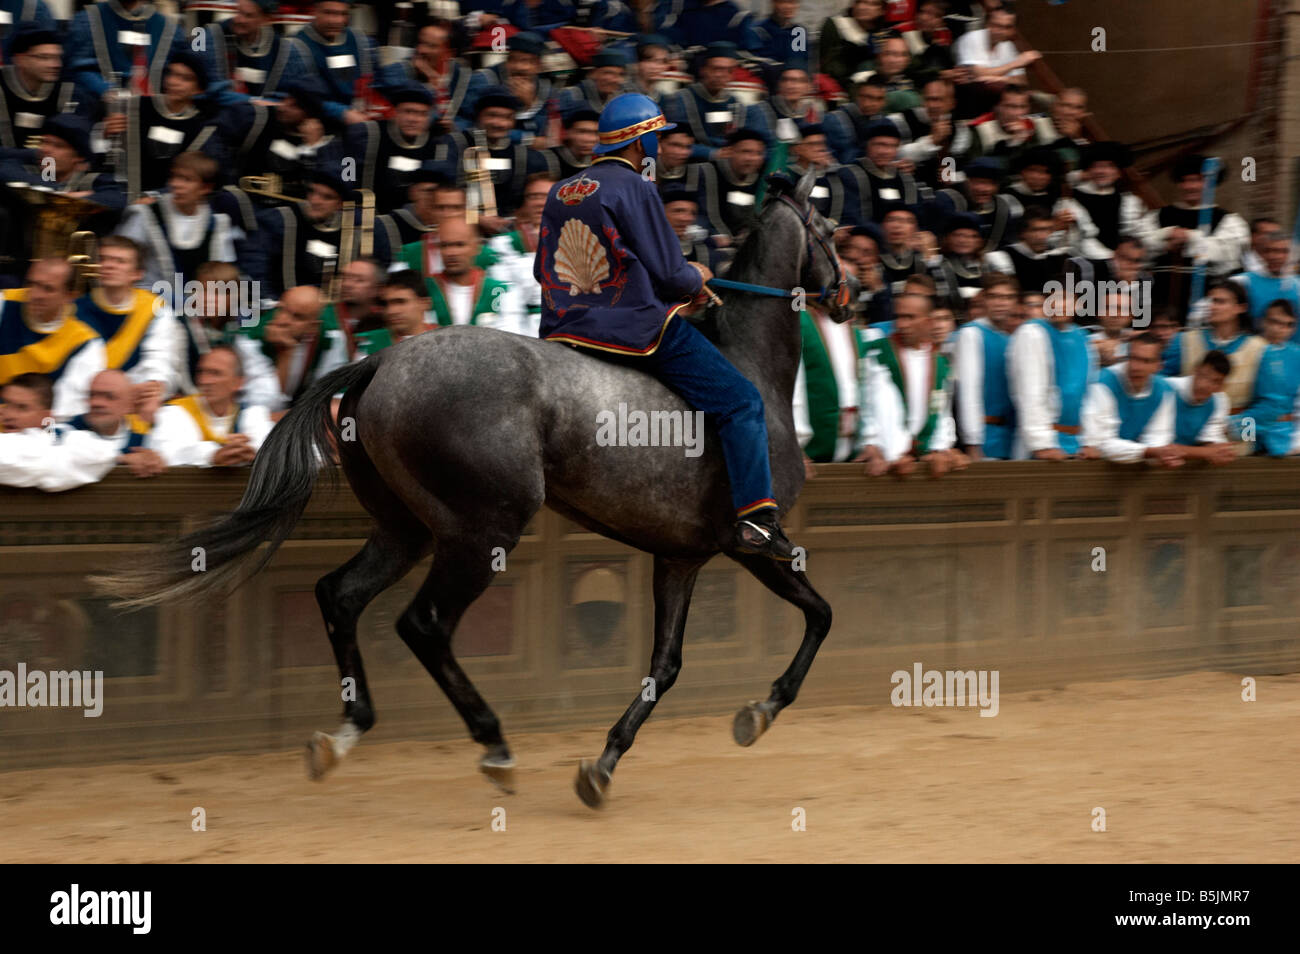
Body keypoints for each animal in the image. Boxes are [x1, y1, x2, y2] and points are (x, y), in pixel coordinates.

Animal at [95, 170, 859, 809]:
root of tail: (380, 364)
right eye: (828, 228)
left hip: (405, 528)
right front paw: (759, 711)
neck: (748, 365)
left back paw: (343, 735)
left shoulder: (681, 556)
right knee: (423, 625)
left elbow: (665, 665)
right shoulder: (749, 542)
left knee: (339, 596)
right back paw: (493, 744)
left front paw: (603, 765)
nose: (851, 293)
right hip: (480, 532)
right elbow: (820, 614)